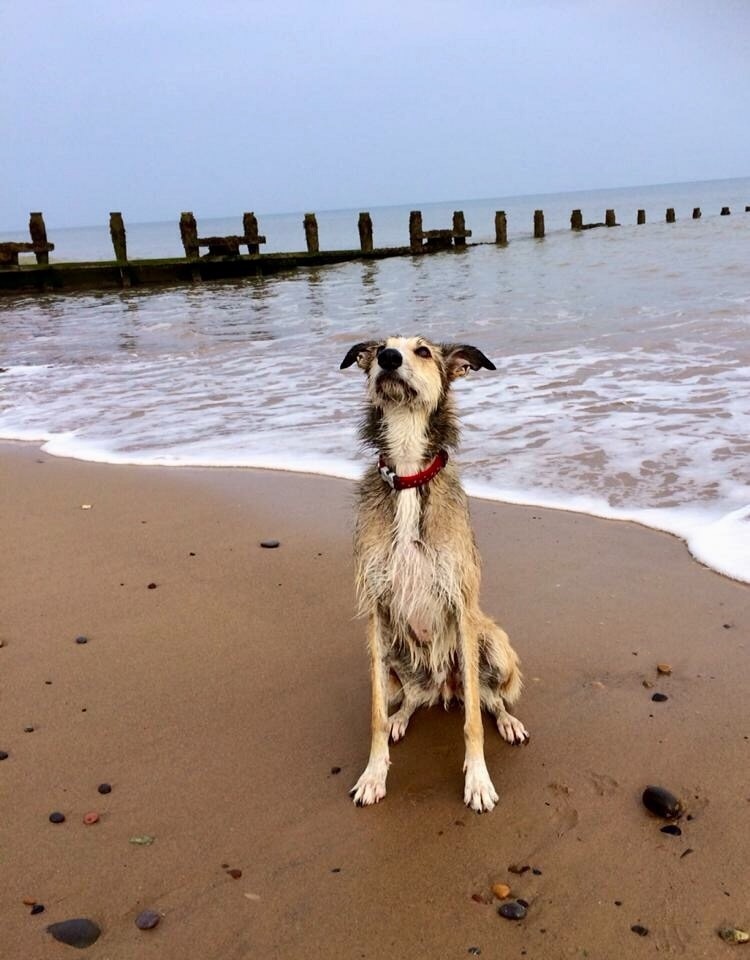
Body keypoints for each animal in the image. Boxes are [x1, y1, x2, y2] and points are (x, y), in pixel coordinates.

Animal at [340, 334, 528, 812]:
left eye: (422, 351)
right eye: (379, 349)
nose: (388, 358)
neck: (408, 473)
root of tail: (446, 689)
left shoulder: (460, 603)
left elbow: (473, 721)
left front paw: (478, 781)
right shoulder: (377, 610)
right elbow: (373, 714)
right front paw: (374, 774)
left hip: (491, 644)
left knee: (489, 699)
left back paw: (508, 721)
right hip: (395, 656)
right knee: (409, 697)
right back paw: (400, 718)